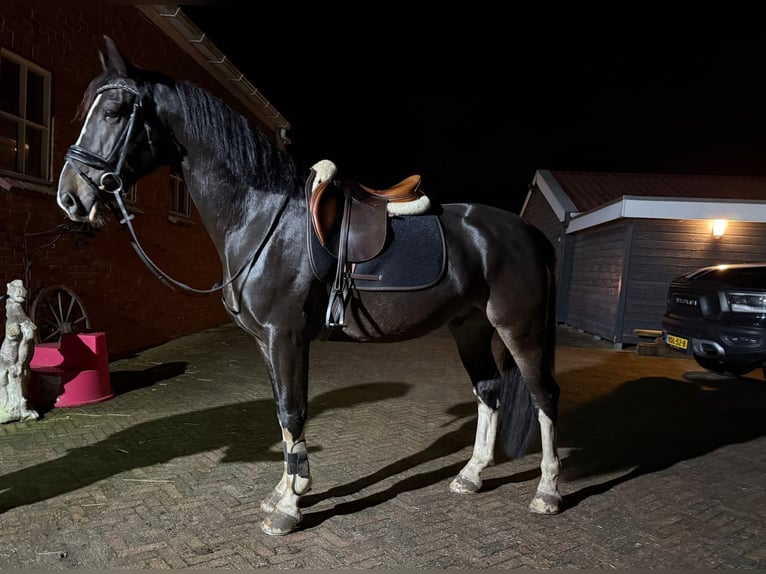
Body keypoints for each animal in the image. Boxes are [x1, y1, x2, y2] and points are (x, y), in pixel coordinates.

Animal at [55, 36, 562, 536]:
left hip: (519, 328)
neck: (261, 218)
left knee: (544, 395)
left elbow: (292, 411)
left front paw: (290, 506)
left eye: (114, 112)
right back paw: (471, 476)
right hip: (470, 326)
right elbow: (282, 412)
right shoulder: (266, 342)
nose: (70, 197)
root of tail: (528, 233)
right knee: (489, 391)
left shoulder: (287, 336)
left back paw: (547, 492)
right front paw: (282, 492)